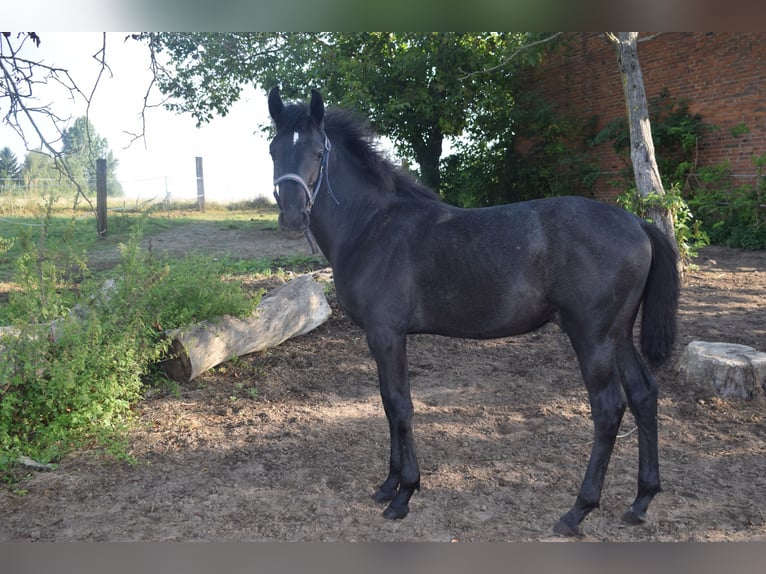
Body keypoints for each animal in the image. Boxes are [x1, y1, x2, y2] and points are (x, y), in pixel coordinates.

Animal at [268, 88, 680, 536]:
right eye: (273, 150)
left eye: (317, 152)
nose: (292, 218)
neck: (374, 226)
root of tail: (638, 223)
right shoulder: (380, 339)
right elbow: (387, 404)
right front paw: (388, 484)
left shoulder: (386, 334)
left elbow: (400, 405)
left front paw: (404, 493)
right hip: (618, 335)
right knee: (643, 395)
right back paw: (641, 500)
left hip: (592, 337)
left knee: (608, 409)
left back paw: (578, 510)